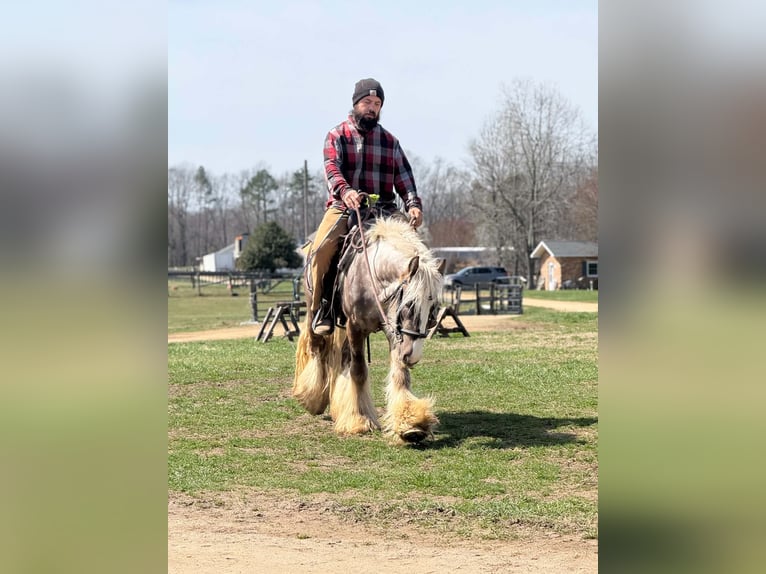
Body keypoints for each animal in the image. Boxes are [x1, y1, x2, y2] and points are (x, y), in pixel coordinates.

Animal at [293, 216, 443, 444]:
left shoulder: (394, 331)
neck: (371, 278)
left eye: (433, 309)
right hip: (314, 311)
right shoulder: (355, 327)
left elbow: (400, 374)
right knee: (317, 346)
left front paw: (410, 423)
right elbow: (359, 371)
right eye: (409, 305)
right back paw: (312, 397)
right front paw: (358, 420)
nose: (414, 356)